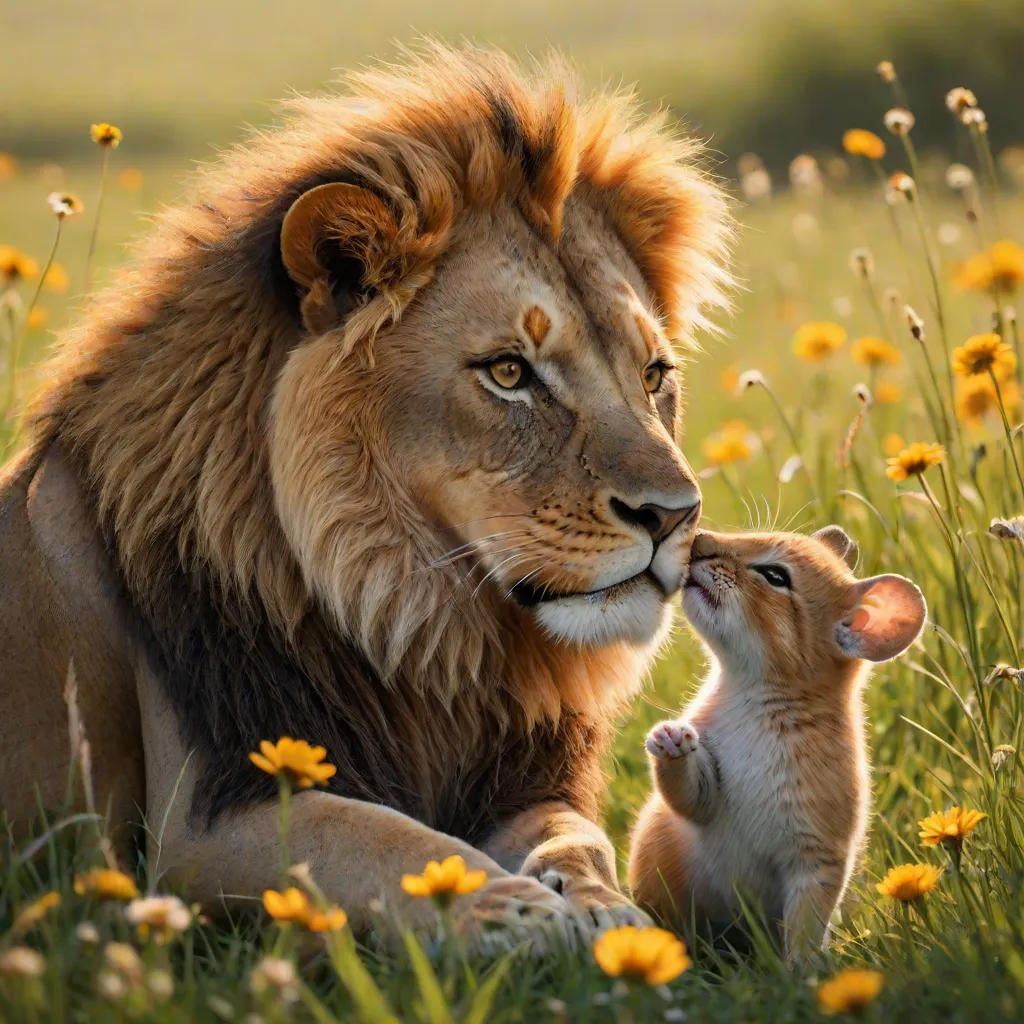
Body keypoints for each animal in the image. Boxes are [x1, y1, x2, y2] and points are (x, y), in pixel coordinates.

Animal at [0, 44, 730, 937]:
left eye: (653, 374)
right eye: (509, 372)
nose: (675, 516)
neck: (422, 624)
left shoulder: (520, 779)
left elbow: (575, 838)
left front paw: (602, 911)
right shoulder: (207, 822)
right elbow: (396, 845)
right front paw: (515, 916)